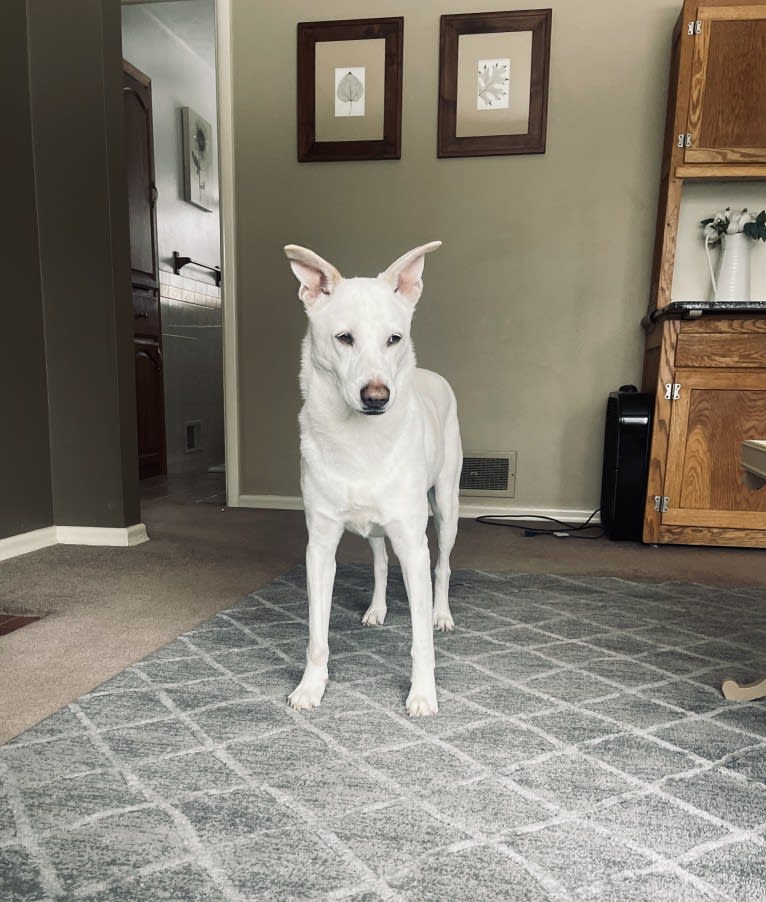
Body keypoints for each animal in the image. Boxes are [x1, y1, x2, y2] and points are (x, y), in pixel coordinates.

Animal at [282, 242, 462, 720]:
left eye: (393, 339)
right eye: (344, 338)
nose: (377, 397)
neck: (358, 438)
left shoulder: (413, 545)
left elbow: (421, 641)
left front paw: (422, 694)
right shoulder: (319, 548)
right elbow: (317, 636)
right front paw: (311, 687)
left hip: (446, 508)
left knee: (443, 566)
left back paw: (441, 614)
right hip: (376, 530)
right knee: (381, 562)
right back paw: (377, 608)